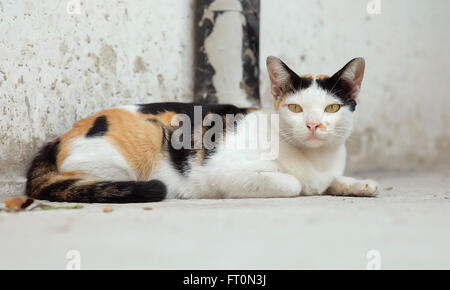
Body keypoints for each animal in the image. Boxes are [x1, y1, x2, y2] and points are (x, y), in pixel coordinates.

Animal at [24, 56, 376, 202]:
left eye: (331, 108)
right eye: (296, 108)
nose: (314, 124)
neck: (317, 160)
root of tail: (58, 139)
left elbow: (331, 180)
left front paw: (357, 184)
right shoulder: (227, 172)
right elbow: (294, 183)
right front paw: (308, 186)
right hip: (137, 147)